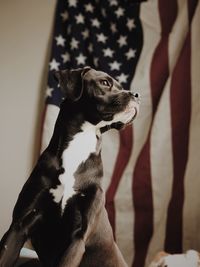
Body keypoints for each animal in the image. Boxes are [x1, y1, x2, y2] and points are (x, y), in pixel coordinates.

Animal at [0, 67, 140, 267]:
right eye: (105, 83)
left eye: (121, 86)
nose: (136, 95)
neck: (76, 151)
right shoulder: (19, 225)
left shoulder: (78, 237)